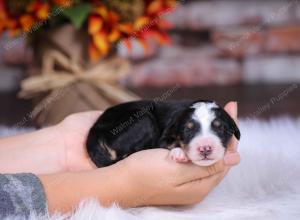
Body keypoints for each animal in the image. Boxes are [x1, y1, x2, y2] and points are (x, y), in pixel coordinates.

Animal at [85, 99, 240, 167]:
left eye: (221, 129)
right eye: (187, 130)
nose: (205, 148)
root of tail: (94, 132)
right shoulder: (162, 138)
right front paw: (180, 153)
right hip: (144, 120)